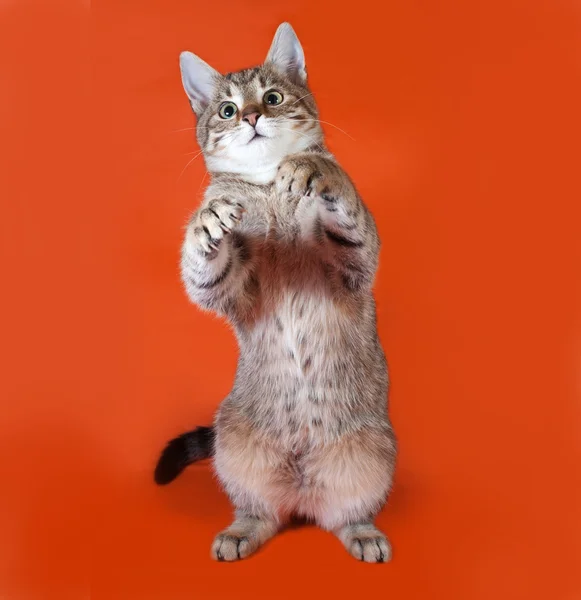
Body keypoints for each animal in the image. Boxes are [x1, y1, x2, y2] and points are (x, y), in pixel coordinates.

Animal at [154, 22, 396, 564]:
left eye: (272, 96)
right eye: (226, 109)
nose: (251, 115)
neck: (266, 187)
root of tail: (301, 492)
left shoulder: (353, 261)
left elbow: (340, 191)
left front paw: (311, 168)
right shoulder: (231, 286)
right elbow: (202, 267)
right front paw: (205, 223)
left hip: (372, 456)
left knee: (346, 512)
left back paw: (362, 533)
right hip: (234, 447)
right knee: (259, 508)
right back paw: (241, 531)